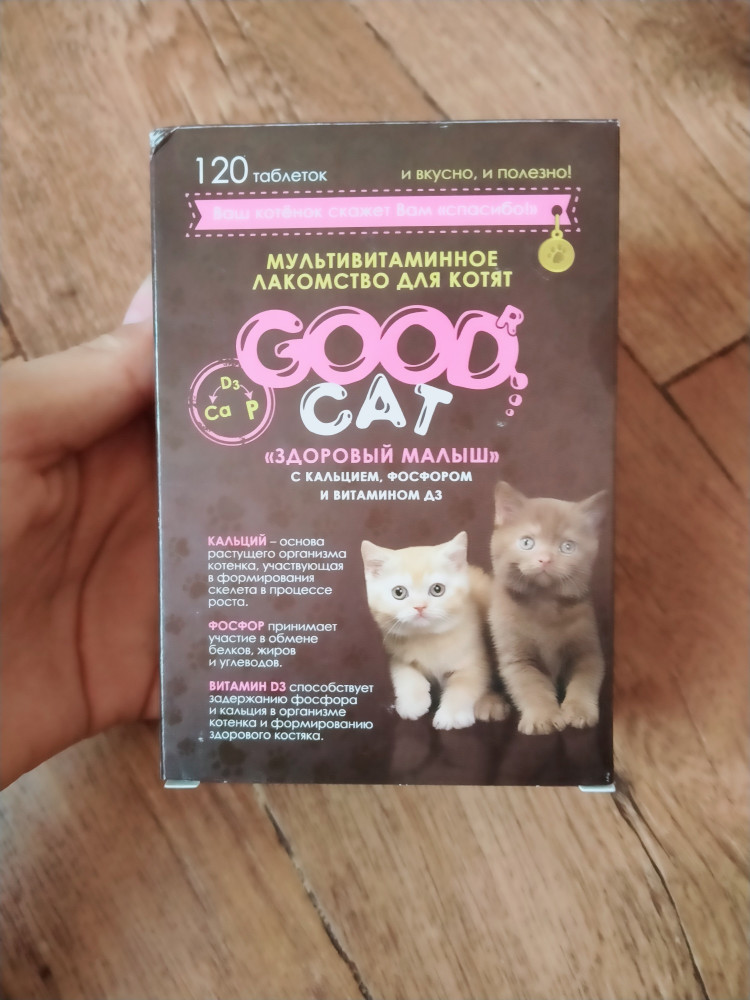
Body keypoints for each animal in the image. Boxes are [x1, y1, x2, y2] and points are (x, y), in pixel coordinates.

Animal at [361, 532, 508, 730]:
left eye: (437, 589)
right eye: (399, 592)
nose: (419, 607)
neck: (428, 638)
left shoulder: (475, 659)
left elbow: (464, 685)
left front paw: (451, 716)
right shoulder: (396, 653)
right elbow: (405, 674)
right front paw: (412, 704)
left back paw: (491, 705)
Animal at [488, 481, 607, 735]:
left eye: (567, 547)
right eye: (527, 542)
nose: (545, 559)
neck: (543, 604)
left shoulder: (588, 650)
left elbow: (585, 680)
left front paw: (579, 711)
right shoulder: (517, 658)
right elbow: (531, 687)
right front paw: (543, 717)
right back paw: (491, 705)